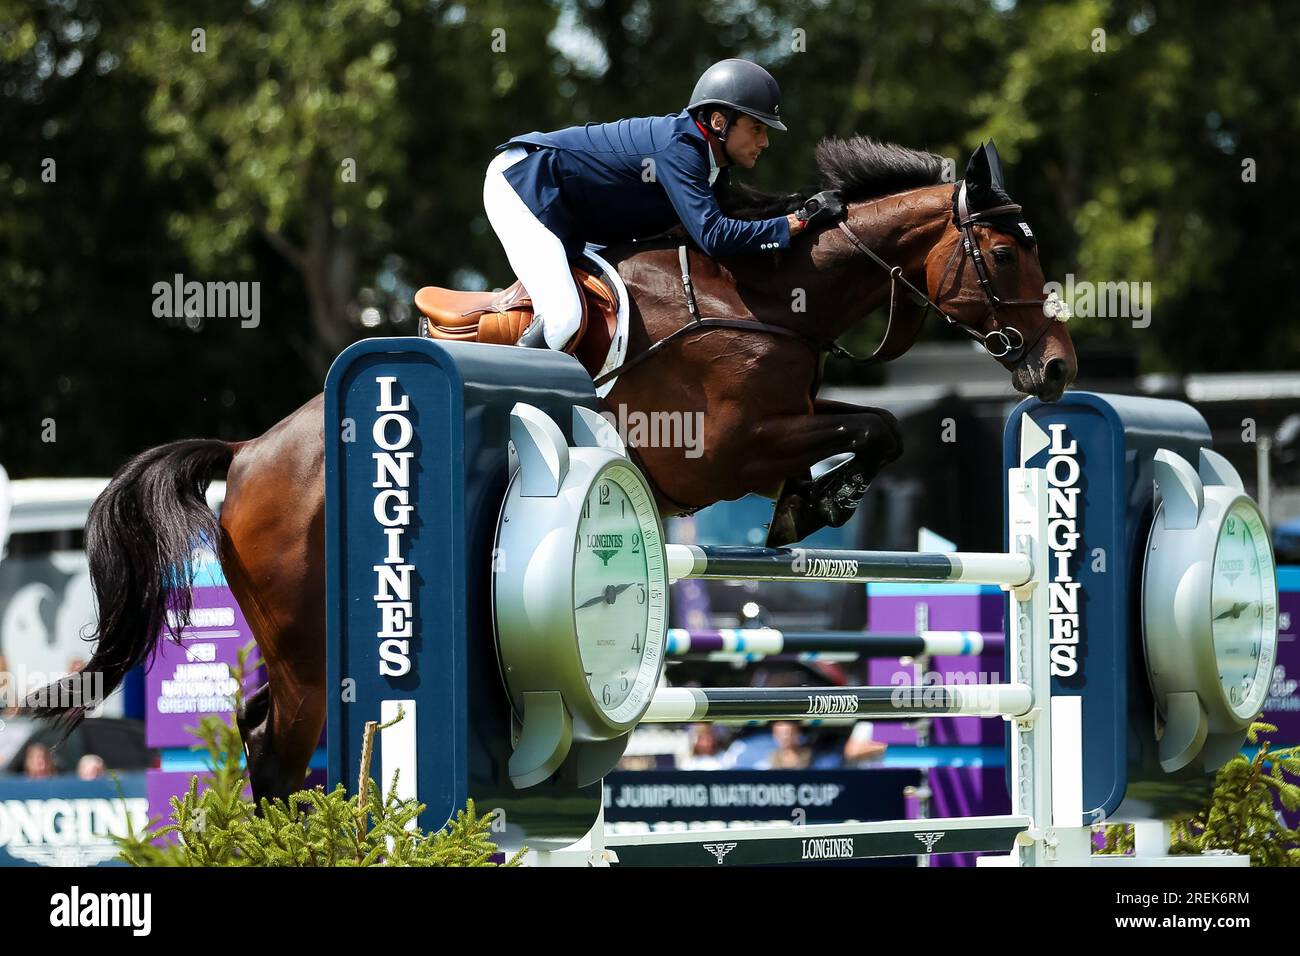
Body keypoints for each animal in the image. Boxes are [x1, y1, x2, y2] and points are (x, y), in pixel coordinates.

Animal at [27, 136, 1076, 806]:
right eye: (1005, 251)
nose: (1059, 369)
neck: (773, 293)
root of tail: (247, 457)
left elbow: (871, 432)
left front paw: (802, 507)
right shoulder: (730, 444)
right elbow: (877, 429)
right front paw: (819, 500)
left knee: (271, 732)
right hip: (302, 639)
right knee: (274, 743)